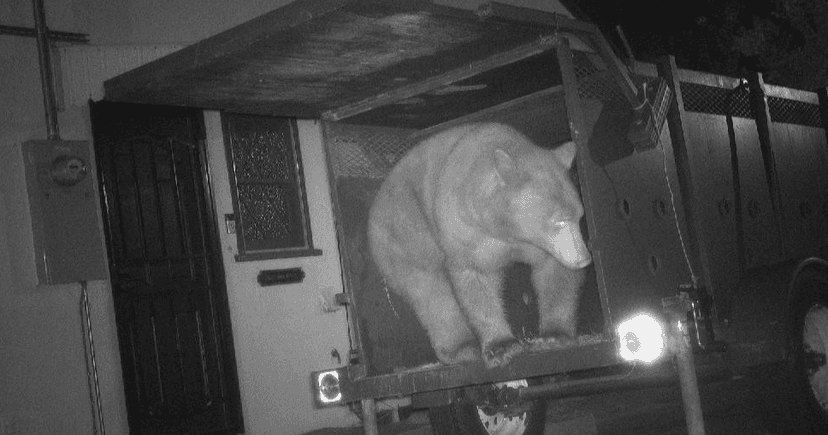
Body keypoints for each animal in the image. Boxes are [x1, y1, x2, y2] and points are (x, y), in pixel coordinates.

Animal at [368, 123, 592, 368]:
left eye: (579, 217)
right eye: (558, 220)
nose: (584, 258)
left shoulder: (543, 245)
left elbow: (555, 273)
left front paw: (553, 335)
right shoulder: (465, 230)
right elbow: (475, 279)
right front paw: (502, 347)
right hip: (405, 233)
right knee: (431, 292)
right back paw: (462, 348)